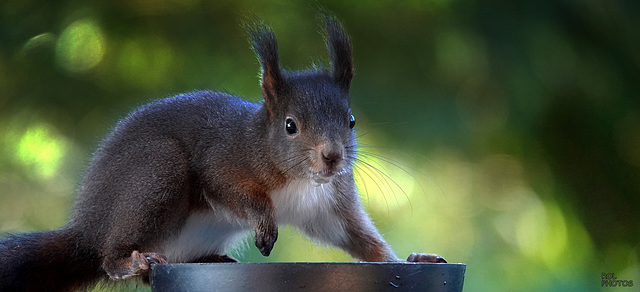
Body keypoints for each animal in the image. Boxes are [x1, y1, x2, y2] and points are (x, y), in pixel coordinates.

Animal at [0, 12, 444, 290]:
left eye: (350, 121)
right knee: (110, 259)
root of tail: (86, 229)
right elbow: (230, 189)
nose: (332, 156)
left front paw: (408, 261)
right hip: (157, 169)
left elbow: (360, 239)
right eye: (290, 125)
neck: (299, 178)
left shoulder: (331, 203)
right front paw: (265, 223)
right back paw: (126, 260)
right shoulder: (222, 159)